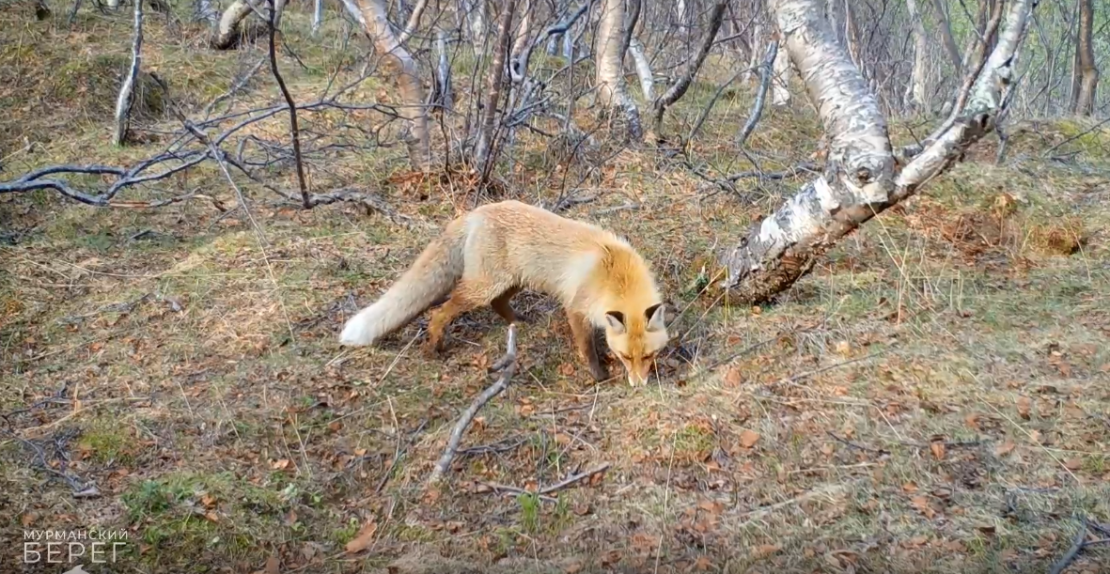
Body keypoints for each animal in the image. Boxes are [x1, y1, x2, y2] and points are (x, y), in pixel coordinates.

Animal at [338, 200, 668, 386]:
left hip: (514, 281)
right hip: (482, 288)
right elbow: (586, 348)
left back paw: (517, 322)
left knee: (499, 305)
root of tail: (474, 212)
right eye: (625, 356)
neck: (615, 274)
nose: (639, 385)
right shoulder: (575, 307)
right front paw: (598, 375)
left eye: (648, 355)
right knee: (440, 311)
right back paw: (433, 347)